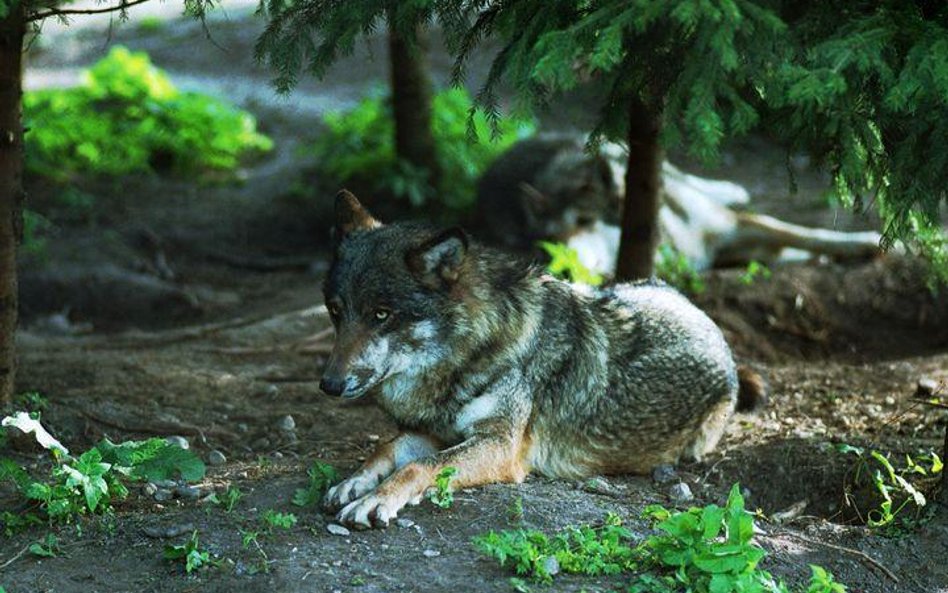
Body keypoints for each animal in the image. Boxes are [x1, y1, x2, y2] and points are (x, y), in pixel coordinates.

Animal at [318, 190, 764, 528]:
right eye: (335, 311)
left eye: (381, 315)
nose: (329, 385)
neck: (469, 353)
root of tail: (711, 324)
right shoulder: (433, 432)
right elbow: (387, 449)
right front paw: (354, 482)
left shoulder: (500, 445)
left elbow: (418, 467)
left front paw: (375, 500)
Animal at [478, 134, 884, 276]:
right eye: (545, 241)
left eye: (584, 221)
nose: (558, 264)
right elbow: (782, 246)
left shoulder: (731, 225)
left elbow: (798, 231)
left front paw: (868, 243)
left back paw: (732, 188)